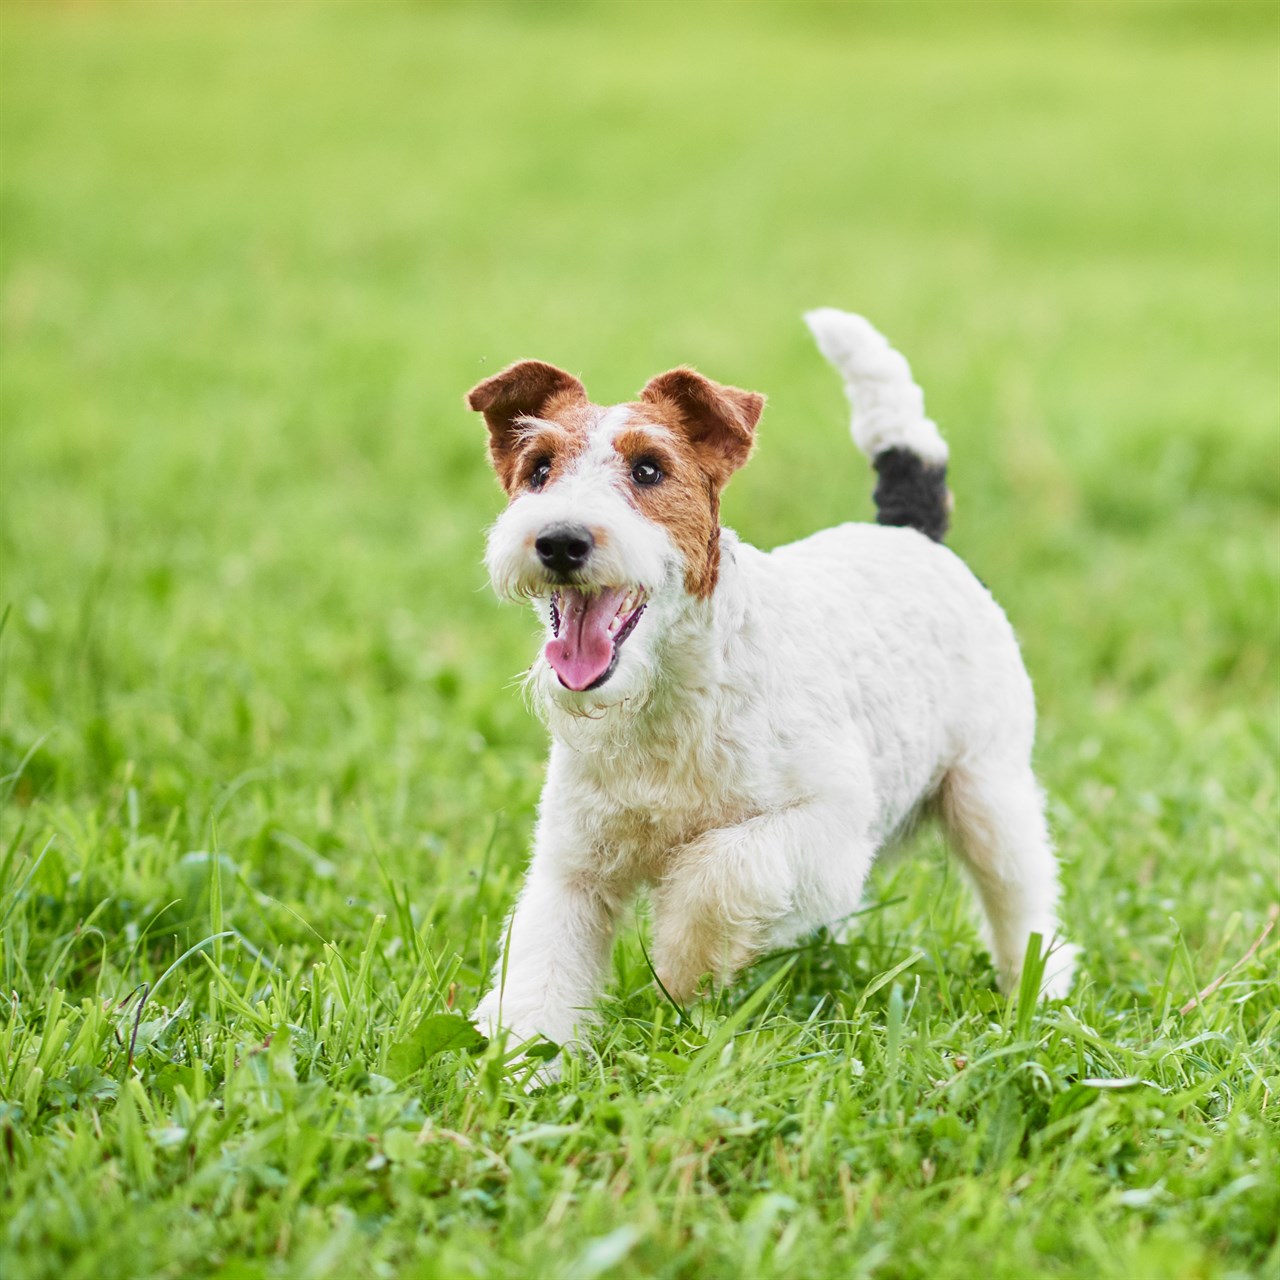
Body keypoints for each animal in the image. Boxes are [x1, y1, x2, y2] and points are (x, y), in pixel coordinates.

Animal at [465, 307, 1075, 1059]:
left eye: (648, 468)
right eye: (540, 468)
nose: (559, 541)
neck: (666, 699)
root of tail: (913, 532)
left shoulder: (824, 822)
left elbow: (722, 873)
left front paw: (681, 964)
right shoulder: (573, 865)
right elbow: (541, 967)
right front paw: (525, 1066)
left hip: (988, 789)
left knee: (1023, 898)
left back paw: (1041, 991)